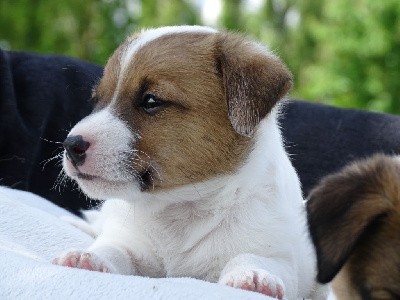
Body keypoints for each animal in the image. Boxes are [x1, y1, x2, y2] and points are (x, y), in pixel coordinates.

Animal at [52, 26, 324, 300]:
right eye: (97, 100)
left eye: (151, 101)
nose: (71, 145)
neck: (180, 207)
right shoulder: (128, 241)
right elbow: (112, 248)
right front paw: (88, 257)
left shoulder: (279, 256)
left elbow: (252, 257)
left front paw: (252, 276)